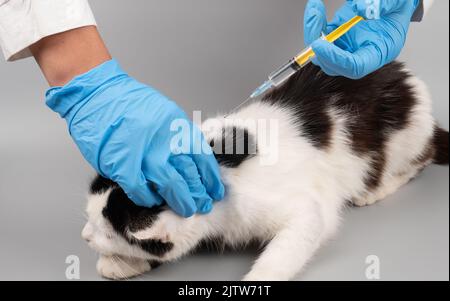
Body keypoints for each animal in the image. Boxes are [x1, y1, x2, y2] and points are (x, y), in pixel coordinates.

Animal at [82, 62, 448, 280]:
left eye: (104, 232)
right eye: (90, 220)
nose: (85, 236)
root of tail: (407, 76)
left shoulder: (304, 209)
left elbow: (290, 245)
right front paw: (122, 264)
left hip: (404, 139)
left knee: (422, 156)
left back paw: (377, 189)